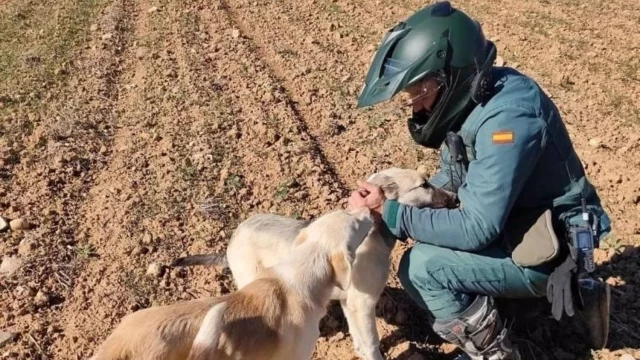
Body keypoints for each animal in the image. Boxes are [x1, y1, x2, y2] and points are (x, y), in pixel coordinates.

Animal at [172, 167, 458, 358]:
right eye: (424, 185)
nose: (456, 198)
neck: (375, 234)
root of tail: (233, 237)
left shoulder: (350, 303)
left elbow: (359, 339)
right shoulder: (362, 303)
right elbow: (370, 343)